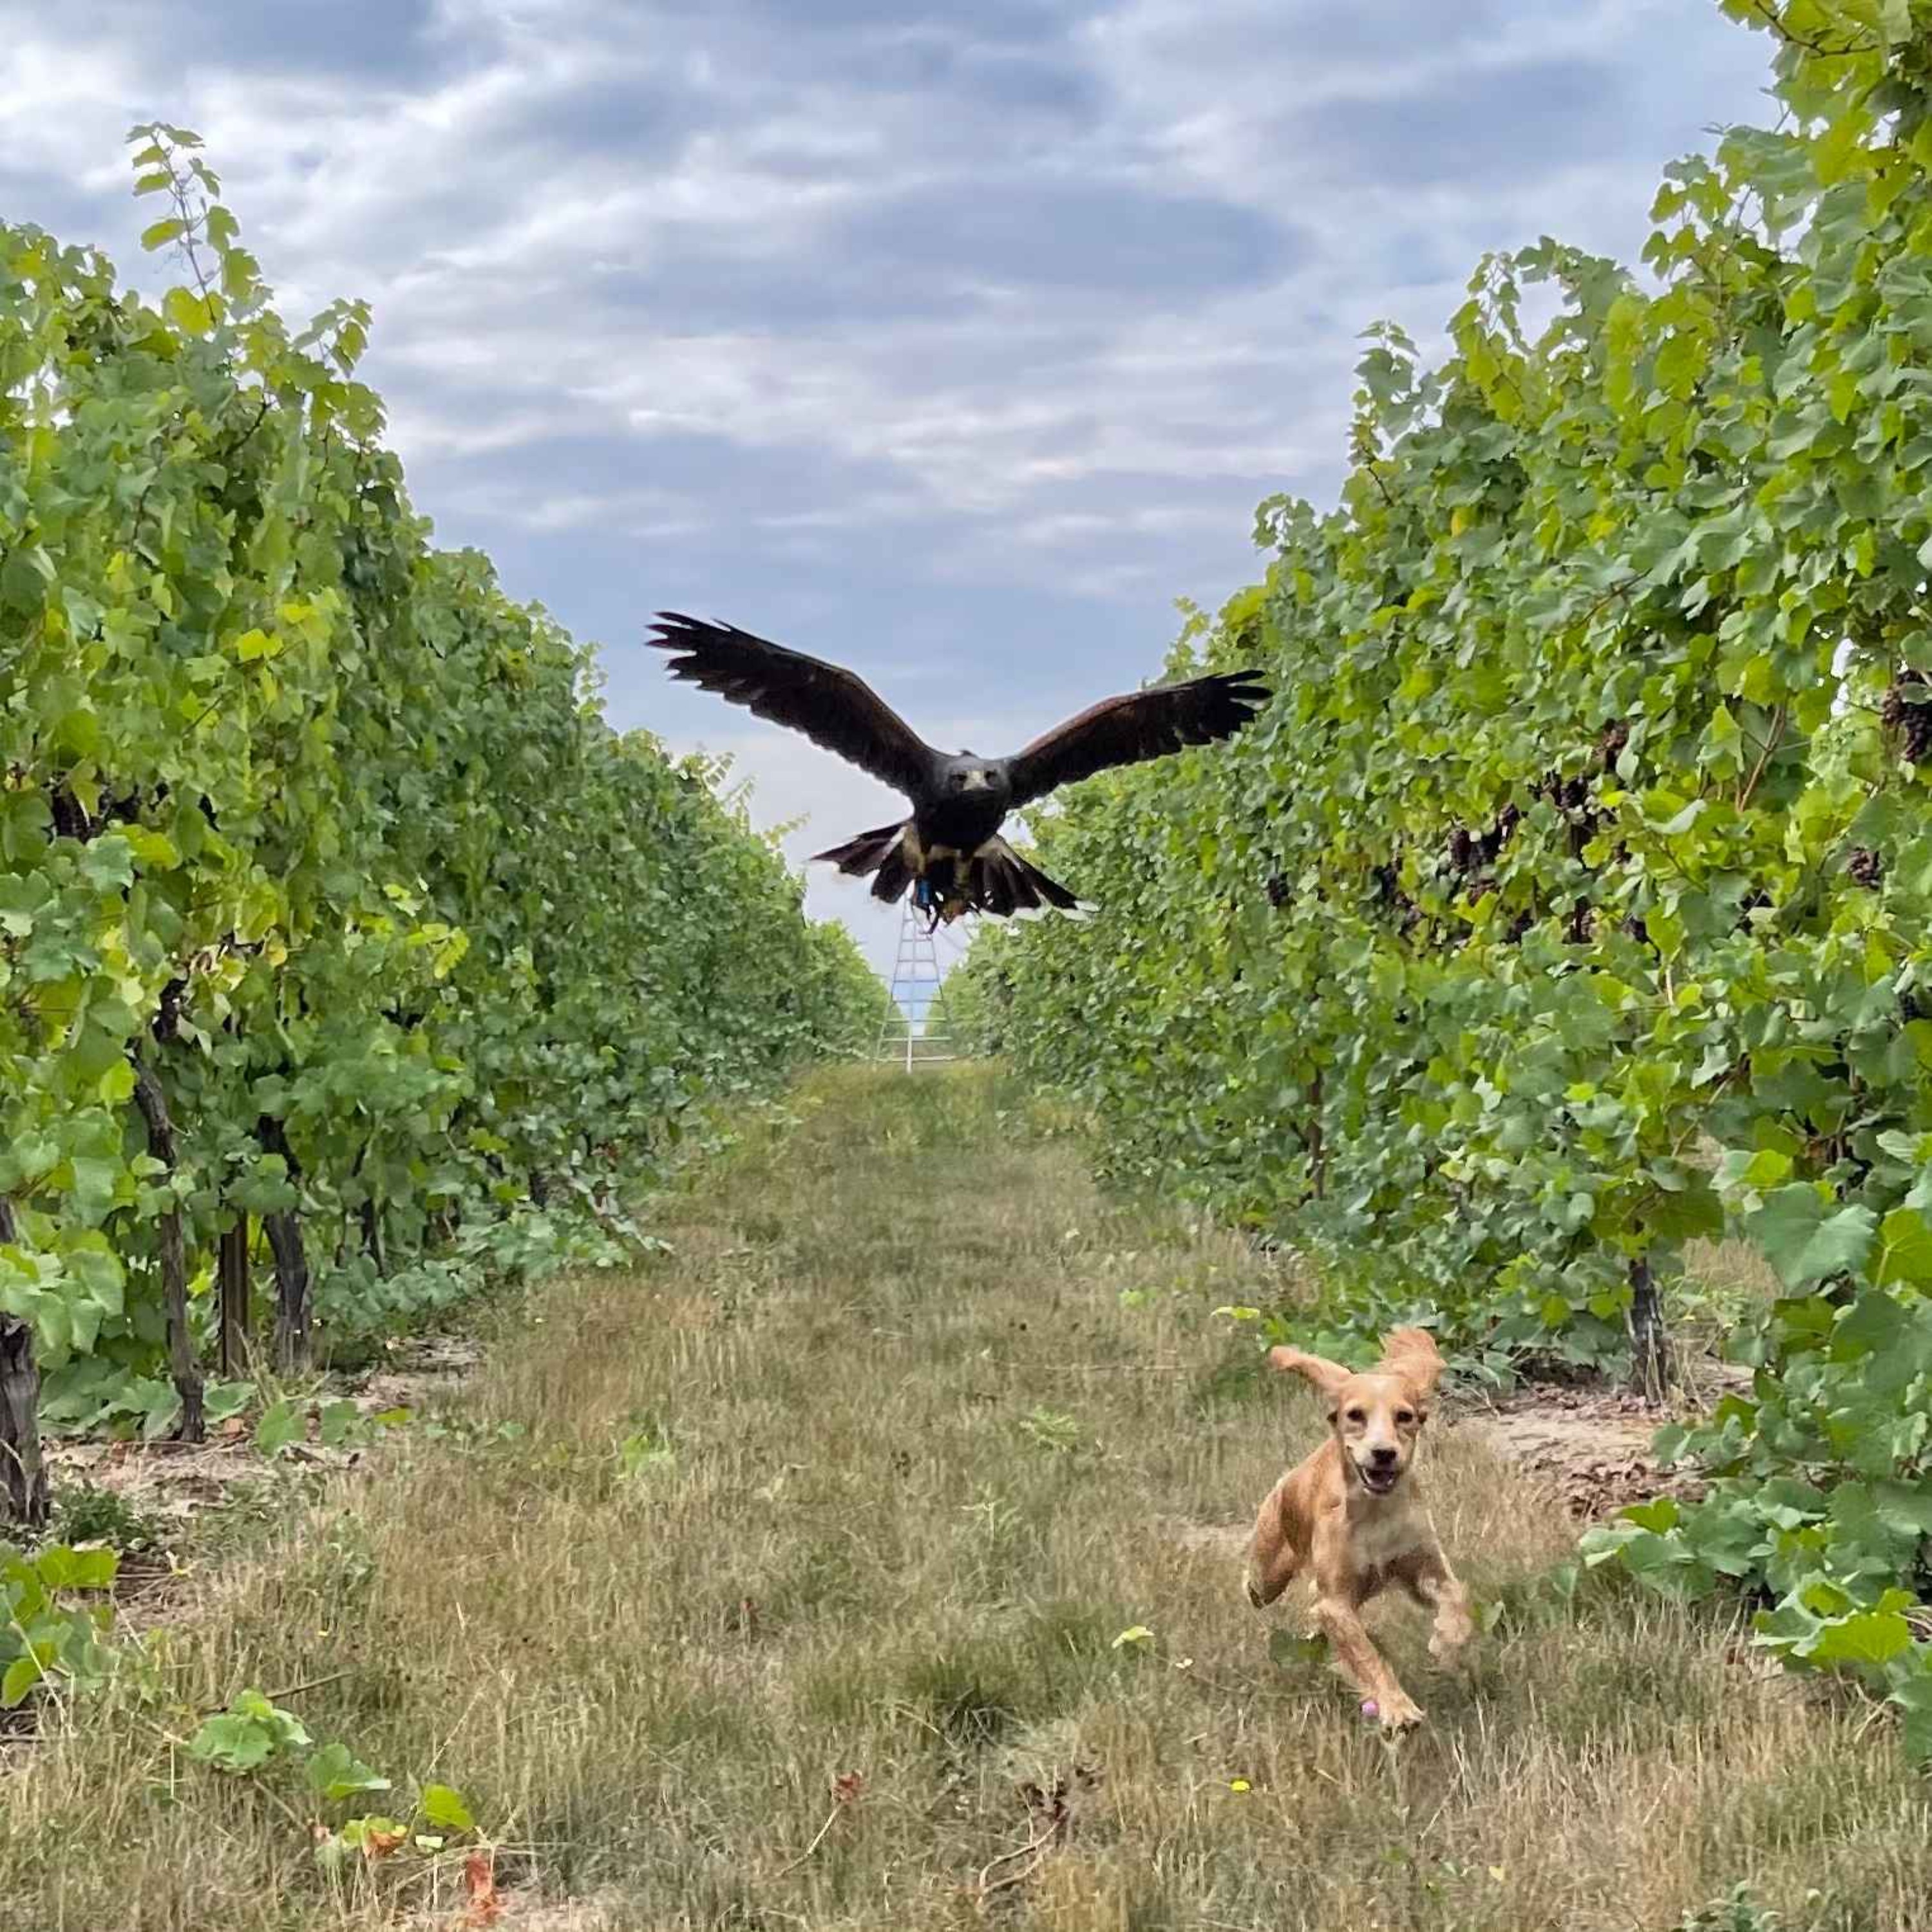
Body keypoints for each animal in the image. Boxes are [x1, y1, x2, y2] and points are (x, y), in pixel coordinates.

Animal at [1244, 1321, 1468, 1731]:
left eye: (1404, 1416)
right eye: (1356, 1415)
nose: (1384, 1453)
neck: (1376, 1514)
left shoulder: (1423, 1568)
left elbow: (1456, 1598)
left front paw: (1445, 1642)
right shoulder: (1336, 1600)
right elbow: (1367, 1654)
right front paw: (1398, 1707)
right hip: (1267, 1573)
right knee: (1258, 1587)